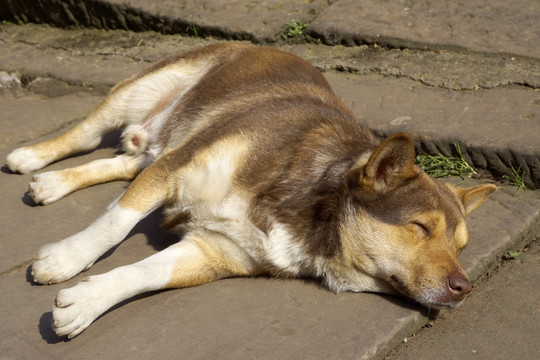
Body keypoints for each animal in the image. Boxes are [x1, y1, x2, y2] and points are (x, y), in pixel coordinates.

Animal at [6, 43, 498, 338]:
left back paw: (53, 183)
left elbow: (147, 274)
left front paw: (87, 302)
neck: (312, 204)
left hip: (158, 145)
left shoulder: (212, 250)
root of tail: (265, 45)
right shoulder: (177, 167)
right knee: (84, 135)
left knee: (123, 162)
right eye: (420, 228)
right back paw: (31, 158)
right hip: (138, 94)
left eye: (461, 246)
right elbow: (113, 224)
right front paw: (66, 260)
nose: (465, 287)